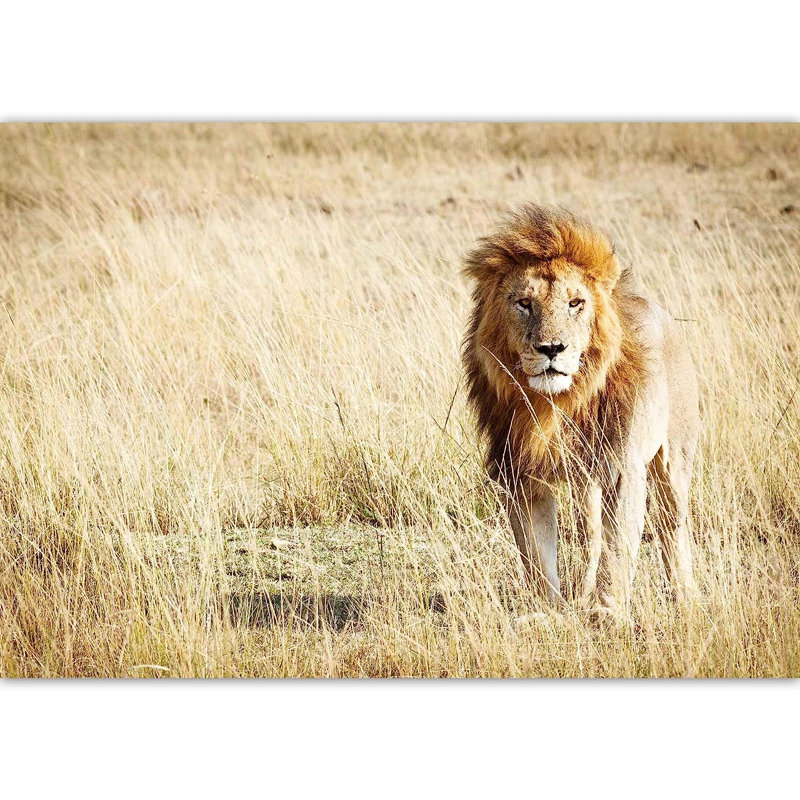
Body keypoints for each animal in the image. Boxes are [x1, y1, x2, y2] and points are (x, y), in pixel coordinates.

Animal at [462, 204, 699, 619]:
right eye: (525, 303)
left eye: (576, 303)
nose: (551, 348)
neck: (555, 403)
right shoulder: (521, 473)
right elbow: (537, 554)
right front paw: (549, 612)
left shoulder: (622, 469)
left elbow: (617, 548)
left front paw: (608, 613)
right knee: (591, 531)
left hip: (673, 459)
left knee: (673, 526)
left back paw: (685, 597)